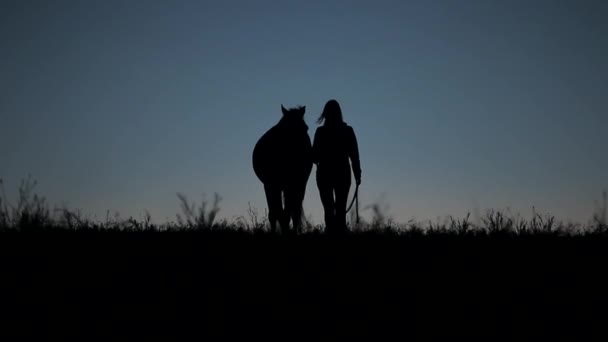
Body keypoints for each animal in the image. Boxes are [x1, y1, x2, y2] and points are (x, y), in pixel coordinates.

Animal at [253, 104, 314, 232]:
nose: (302, 155)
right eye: (286, 128)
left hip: (296, 186)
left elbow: (289, 213)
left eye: (306, 128)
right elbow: (274, 214)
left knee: (294, 211)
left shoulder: (296, 184)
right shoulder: (270, 185)